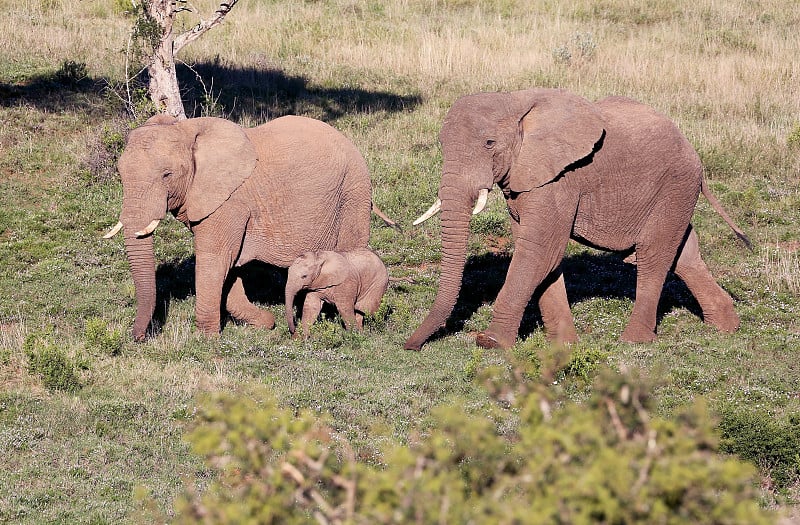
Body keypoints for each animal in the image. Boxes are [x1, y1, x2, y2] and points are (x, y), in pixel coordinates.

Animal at [104, 114, 376, 340]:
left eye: (167, 175)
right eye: (120, 174)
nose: (138, 338)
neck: (188, 128)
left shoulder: (229, 202)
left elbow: (214, 260)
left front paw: (206, 340)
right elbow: (229, 266)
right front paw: (265, 323)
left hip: (353, 193)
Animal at [406, 88, 752, 350]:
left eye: (489, 143)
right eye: (441, 144)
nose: (410, 346)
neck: (516, 101)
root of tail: (693, 152)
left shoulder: (560, 179)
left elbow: (539, 251)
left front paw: (491, 342)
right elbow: (543, 256)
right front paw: (564, 346)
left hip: (675, 184)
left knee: (654, 255)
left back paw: (634, 341)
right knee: (684, 252)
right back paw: (726, 326)